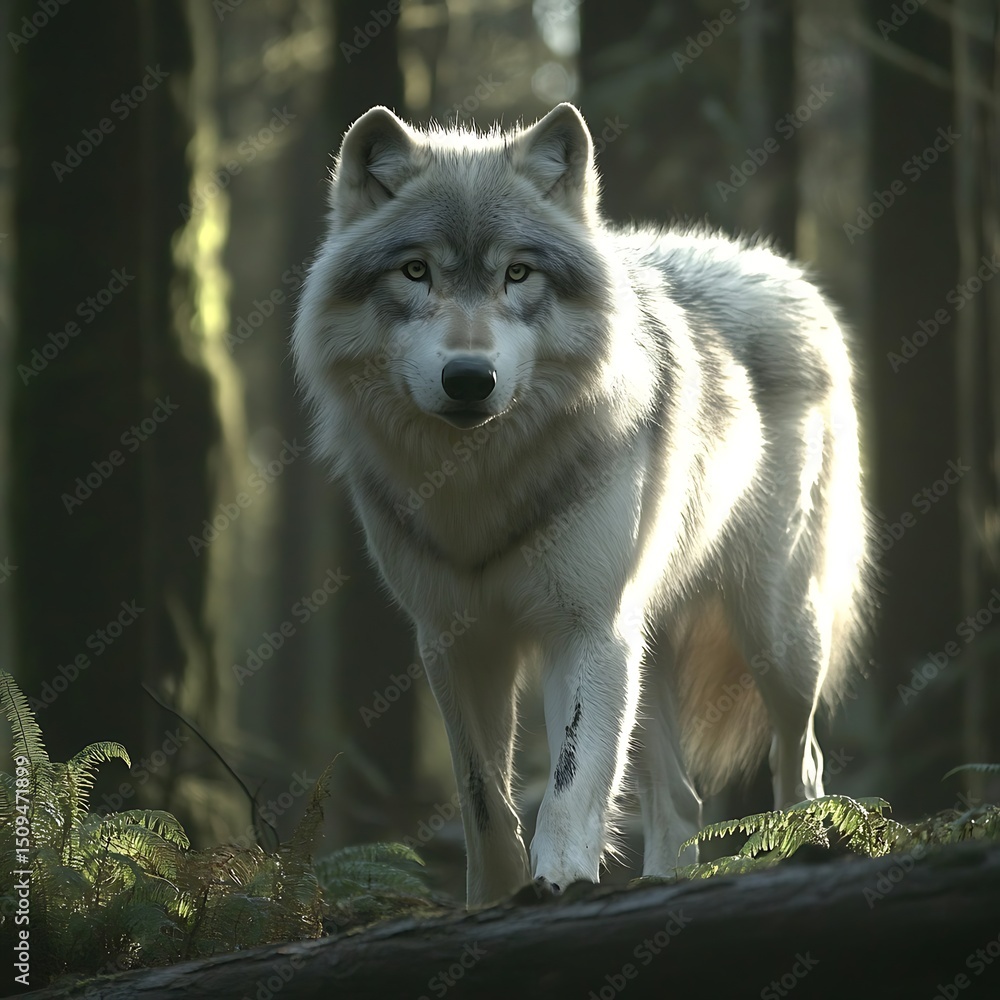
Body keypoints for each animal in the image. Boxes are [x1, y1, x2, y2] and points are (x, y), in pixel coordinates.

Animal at [292, 102, 873, 907]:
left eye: (518, 272)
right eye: (416, 270)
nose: (468, 378)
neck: (480, 484)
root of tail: (781, 268)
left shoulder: (586, 624)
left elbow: (571, 777)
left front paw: (560, 879)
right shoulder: (452, 639)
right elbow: (482, 795)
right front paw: (493, 897)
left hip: (777, 634)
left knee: (803, 759)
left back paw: (805, 851)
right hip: (646, 645)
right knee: (683, 801)